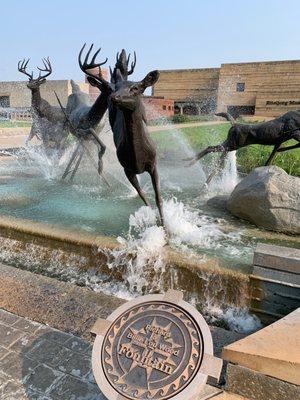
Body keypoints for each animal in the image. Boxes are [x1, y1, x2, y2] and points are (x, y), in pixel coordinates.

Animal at [79, 44, 164, 225]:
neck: (138, 155)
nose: (113, 97)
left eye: (136, 88)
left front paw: (166, 226)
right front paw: (153, 219)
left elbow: (158, 198)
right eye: (115, 88)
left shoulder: (153, 163)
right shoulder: (127, 169)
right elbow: (144, 197)